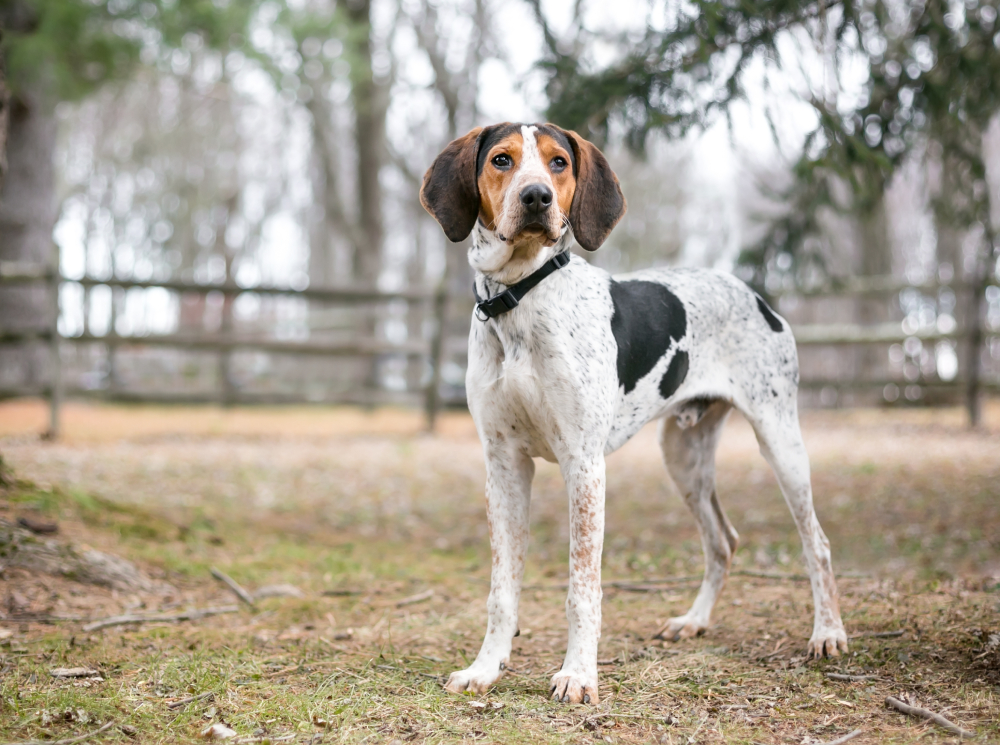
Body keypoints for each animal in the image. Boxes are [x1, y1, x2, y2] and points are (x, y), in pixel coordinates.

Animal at [418, 122, 848, 704]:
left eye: (558, 162)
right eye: (502, 160)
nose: (537, 198)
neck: (520, 298)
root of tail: (755, 295)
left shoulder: (583, 465)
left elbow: (583, 588)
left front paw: (578, 675)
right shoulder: (504, 465)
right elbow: (501, 590)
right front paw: (486, 668)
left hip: (780, 441)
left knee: (816, 543)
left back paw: (827, 633)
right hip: (683, 457)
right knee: (723, 541)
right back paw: (694, 620)